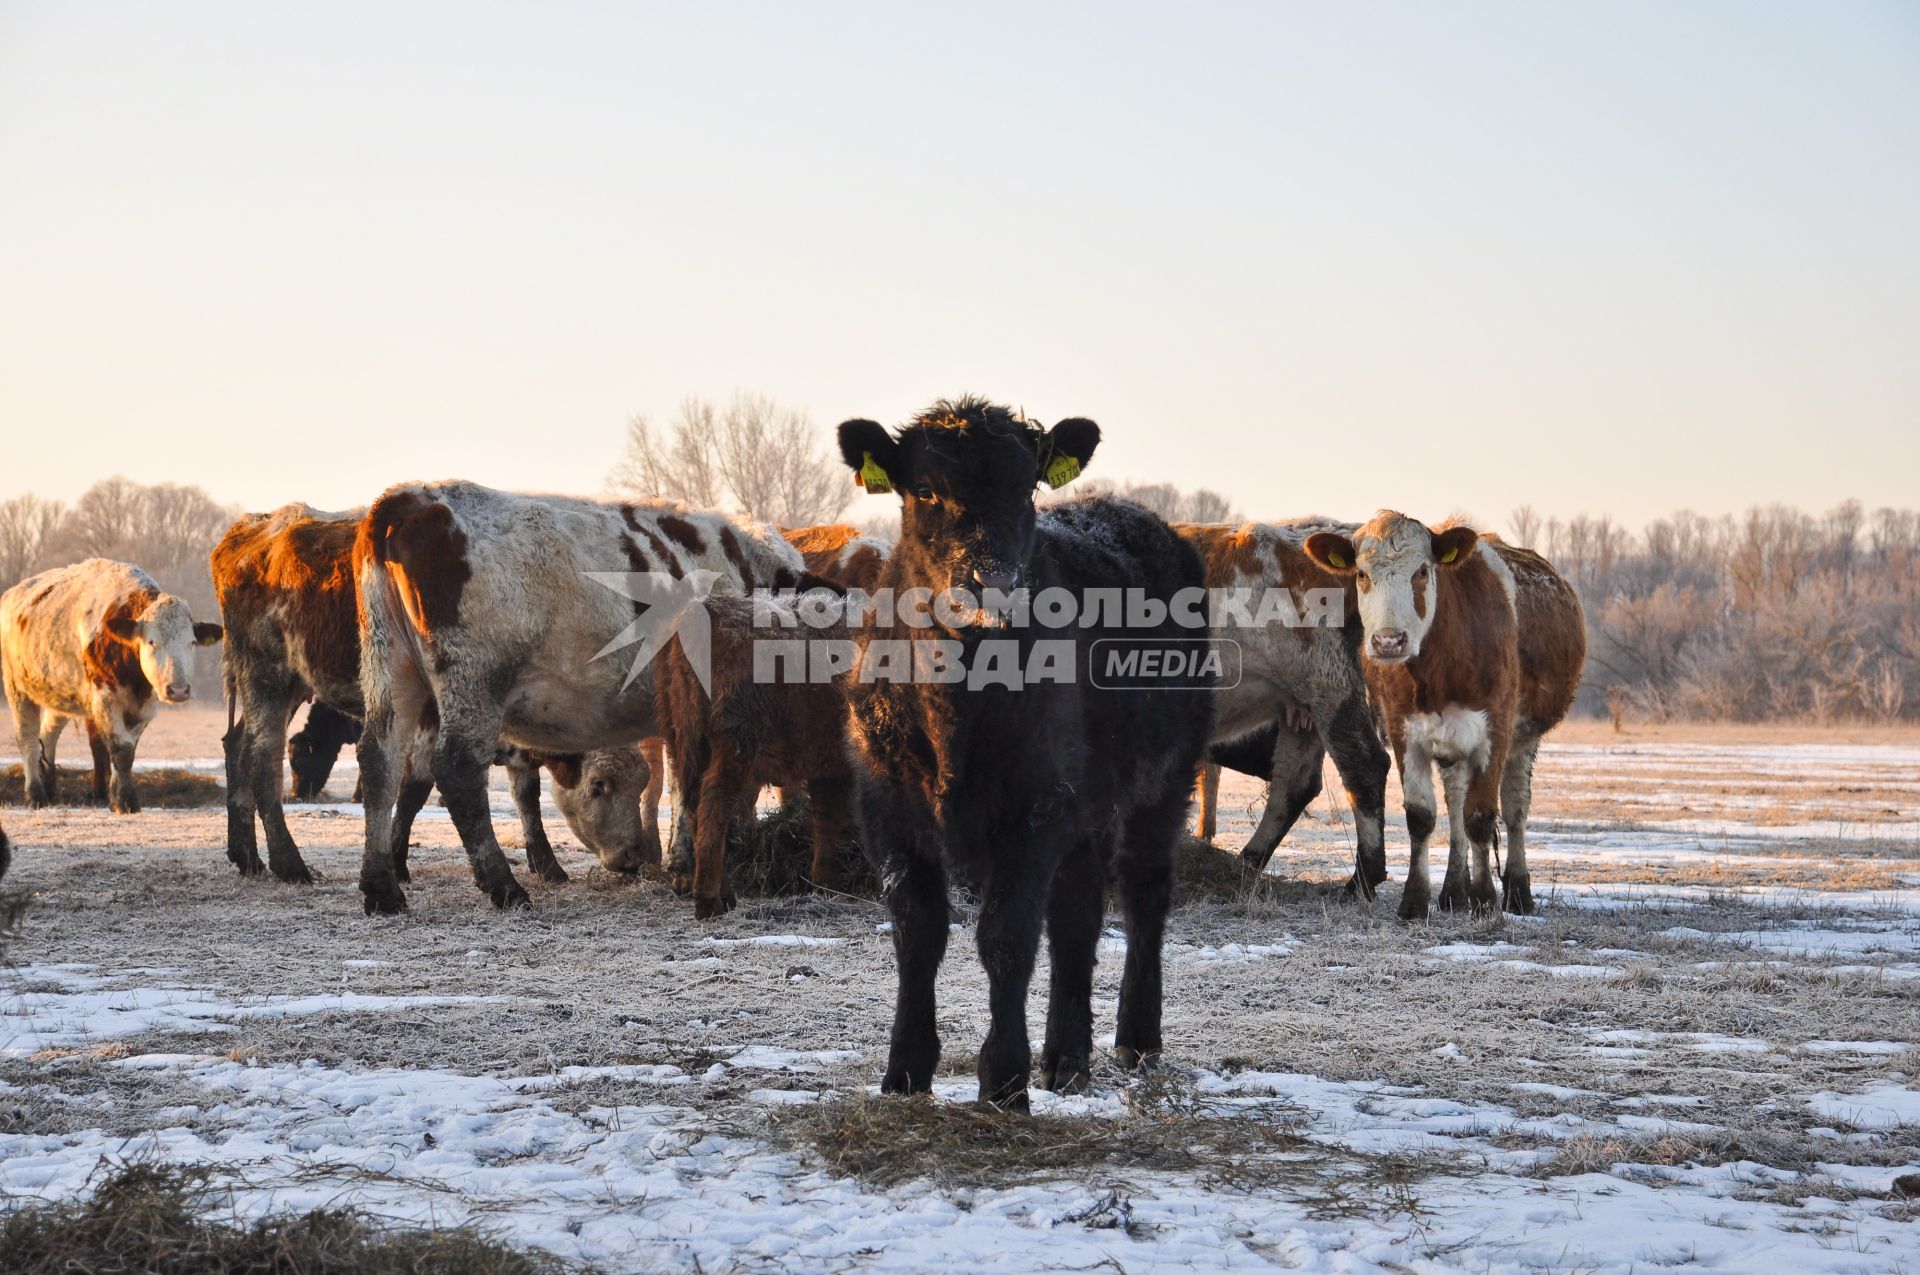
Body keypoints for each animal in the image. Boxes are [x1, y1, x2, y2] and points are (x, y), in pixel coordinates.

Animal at [2, 560, 220, 817]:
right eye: (151, 641)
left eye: (192, 642)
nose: (178, 690)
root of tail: (12, 593)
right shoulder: (105, 699)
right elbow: (120, 748)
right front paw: (125, 801)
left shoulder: (145, 706)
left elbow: (128, 750)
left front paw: (115, 797)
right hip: (17, 689)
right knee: (27, 739)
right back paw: (36, 795)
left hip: (62, 693)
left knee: (48, 735)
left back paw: (50, 787)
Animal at [351, 483, 802, 910]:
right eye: (599, 786)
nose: (629, 858)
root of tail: (414, 496)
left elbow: (681, 781)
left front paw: (684, 866)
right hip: (473, 681)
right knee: (456, 768)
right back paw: (503, 886)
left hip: (393, 671)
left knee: (380, 761)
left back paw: (381, 887)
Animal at [840, 401, 1213, 1113]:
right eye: (924, 490)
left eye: (1025, 490)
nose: (993, 584)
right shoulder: (886, 806)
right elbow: (917, 933)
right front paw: (905, 1070)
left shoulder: (1036, 810)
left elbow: (1006, 935)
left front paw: (1004, 1078)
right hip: (1088, 802)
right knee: (1078, 916)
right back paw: (1066, 1059)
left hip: (1166, 778)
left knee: (1143, 893)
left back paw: (1134, 1041)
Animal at [1305, 514, 1589, 921]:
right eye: (1361, 573)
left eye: (1423, 571)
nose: (1388, 641)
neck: (1437, 670)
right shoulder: (1404, 731)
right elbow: (1422, 817)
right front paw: (1414, 900)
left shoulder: (1494, 732)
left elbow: (1481, 816)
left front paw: (1485, 901)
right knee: (1455, 803)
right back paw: (1454, 892)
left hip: (1525, 739)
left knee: (1515, 807)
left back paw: (1518, 892)